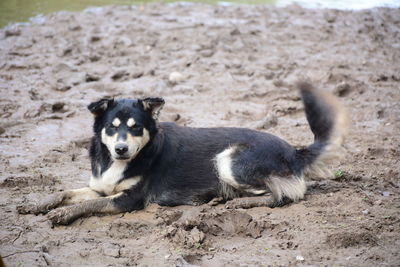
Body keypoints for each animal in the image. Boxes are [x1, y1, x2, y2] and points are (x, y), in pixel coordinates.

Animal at [18, 82, 346, 226]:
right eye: (112, 128)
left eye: (136, 128)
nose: (121, 148)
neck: (118, 161)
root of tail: (294, 150)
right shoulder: (100, 186)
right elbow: (66, 192)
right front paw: (38, 204)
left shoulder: (129, 199)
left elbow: (87, 205)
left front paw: (61, 214)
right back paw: (221, 199)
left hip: (228, 160)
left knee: (279, 196)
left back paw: (235, 204)